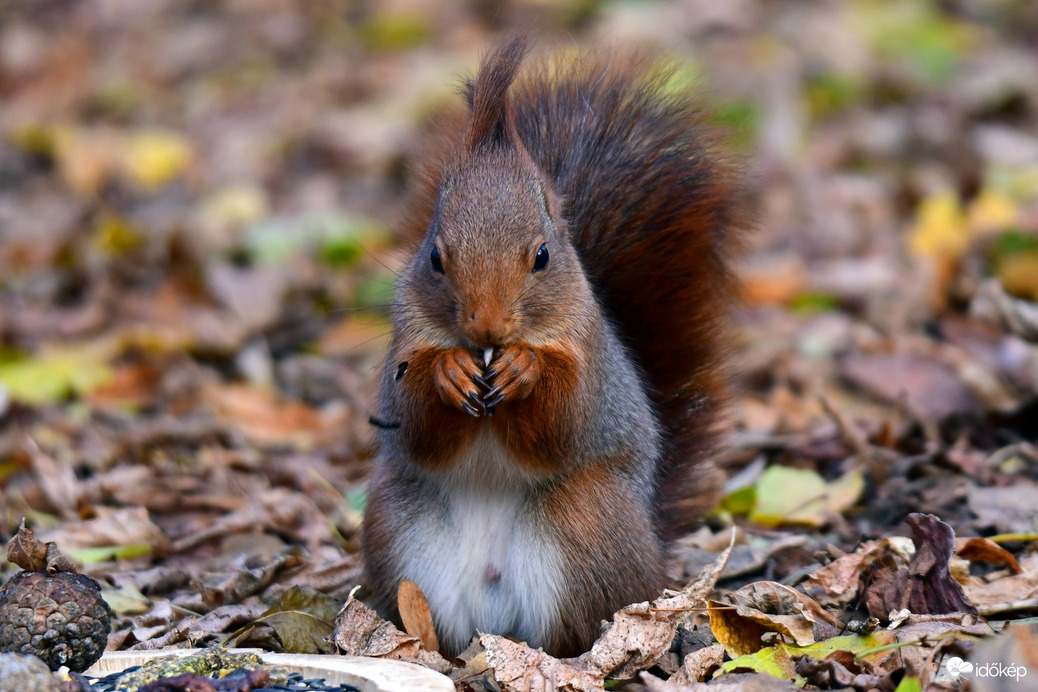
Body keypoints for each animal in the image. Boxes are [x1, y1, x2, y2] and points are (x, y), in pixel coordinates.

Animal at [363, 39, 747, 659]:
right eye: (435, 257)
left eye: (543, 255)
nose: (487, 328)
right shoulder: (405, 341)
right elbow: (419, 428)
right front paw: (449, 371)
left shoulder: (587, 359)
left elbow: (562, 424)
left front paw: (526, 369)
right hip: (400, 530)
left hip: (582, 522)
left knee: (573, 630)